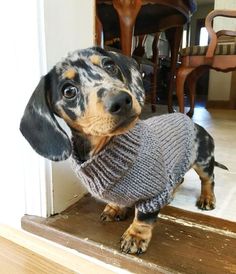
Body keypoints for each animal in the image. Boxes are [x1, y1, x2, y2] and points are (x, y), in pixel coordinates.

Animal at [19, 46, 227, 255]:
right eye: (68, 91)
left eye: (109, 66)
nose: (121, 100)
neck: (107, 148)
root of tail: (192, 122)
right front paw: (116, 208)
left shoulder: (152, 193)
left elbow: (143, 217)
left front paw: (135, 236)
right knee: (180, 179)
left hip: (203, 160)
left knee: (209, 179)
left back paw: (207, 198)